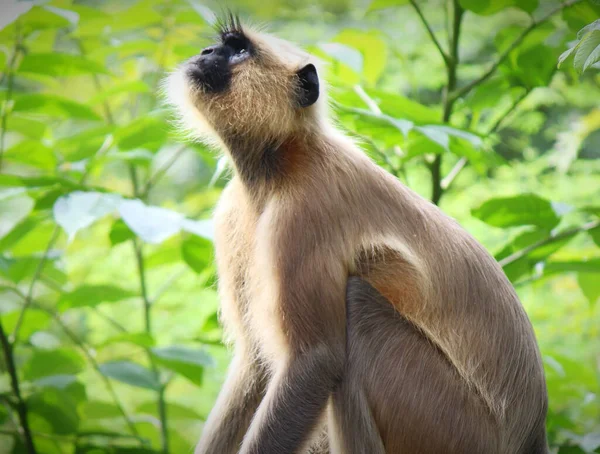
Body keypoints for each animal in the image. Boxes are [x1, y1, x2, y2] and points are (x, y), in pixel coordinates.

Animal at [168, 12, 548, 454]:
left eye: (239, 49)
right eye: (221, 46)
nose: (206, 52)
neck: (279, 166)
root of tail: (530, 433)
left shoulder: (305, 212)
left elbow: (315, 361)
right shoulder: (232, 213)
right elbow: (255, 362)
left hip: (454, 424)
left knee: (359, 309)